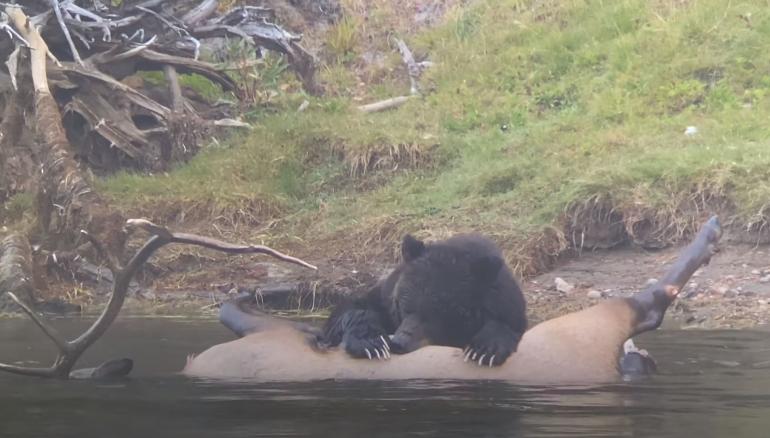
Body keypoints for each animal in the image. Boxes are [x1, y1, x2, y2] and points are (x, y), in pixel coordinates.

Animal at [322, 233, 527, 367]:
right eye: (404, 307)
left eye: (437, 314)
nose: (399, 343)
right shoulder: (385, 297)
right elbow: (354, 308)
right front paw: (371, 344)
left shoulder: (505, 303)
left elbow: (507, 324)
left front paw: (485, 350)